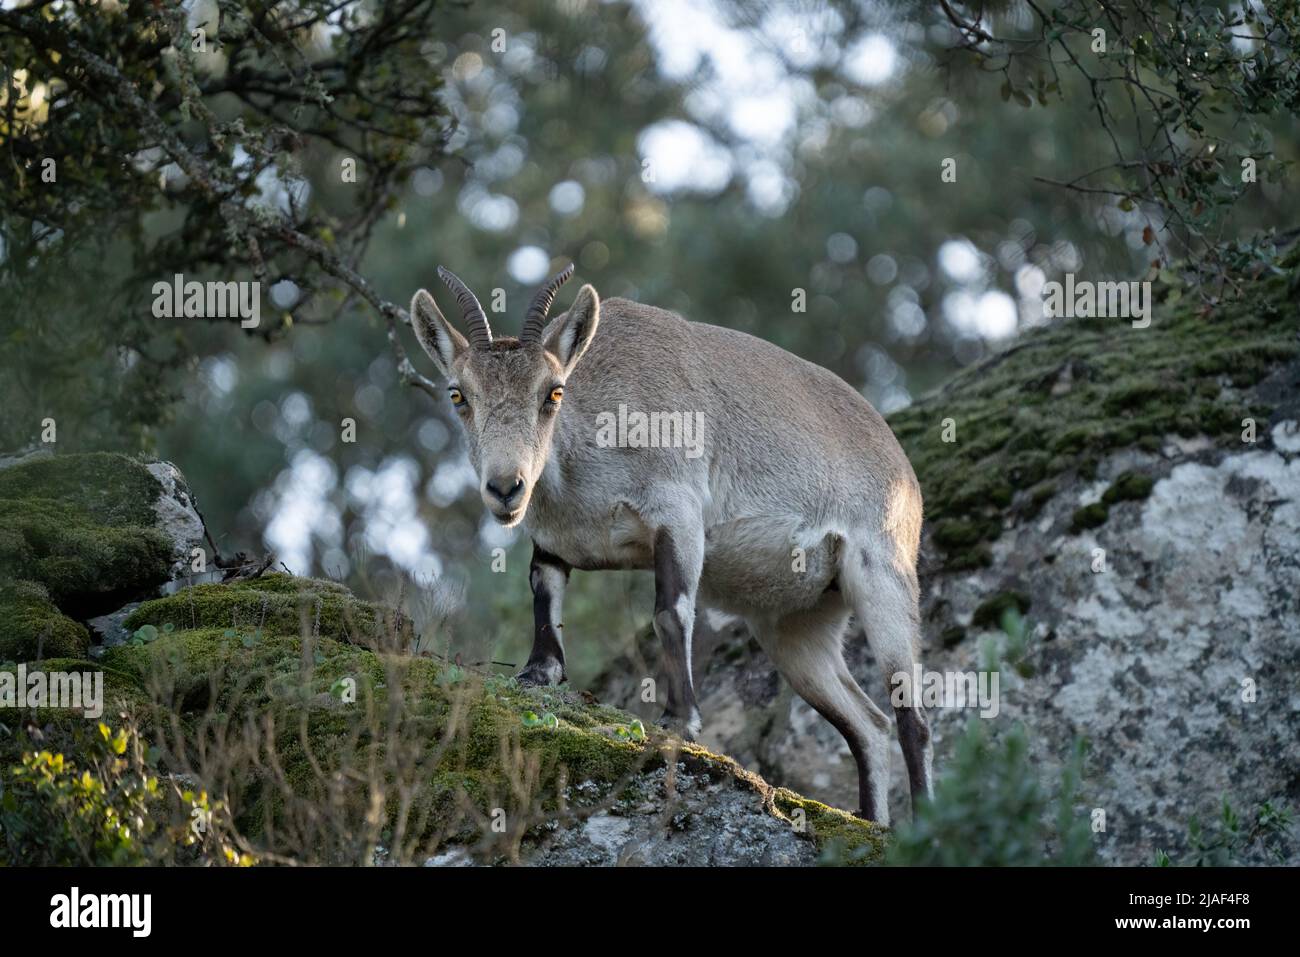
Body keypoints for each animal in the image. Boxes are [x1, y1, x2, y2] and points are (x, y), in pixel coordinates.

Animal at [410, 263, 930, 821]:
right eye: (458, 394)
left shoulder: (677, 513)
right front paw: (536, 675)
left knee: (911, 717)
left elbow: (670, 611)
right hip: (796, 625)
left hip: (884, 574)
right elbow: (544, 602)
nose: (507, 488)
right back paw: (873, 822)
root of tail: (901, 464)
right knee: (867, 725)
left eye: (553, 392)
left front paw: (679, 719)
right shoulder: (553, 544)